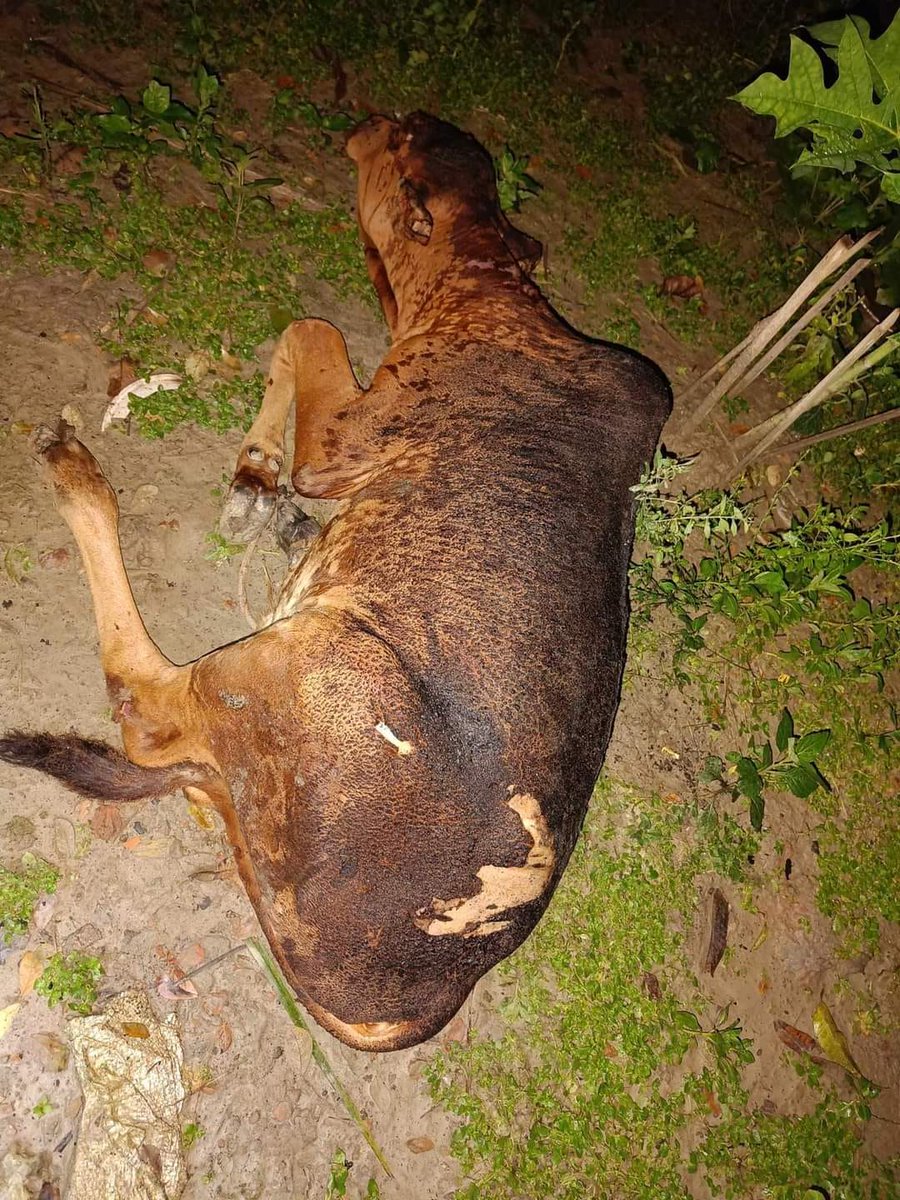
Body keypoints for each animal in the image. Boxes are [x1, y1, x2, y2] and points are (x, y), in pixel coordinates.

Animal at [0, 112, 670, 1051]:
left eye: (403, 141)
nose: (373, 119)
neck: (495, 292)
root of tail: (409, 1006)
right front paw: (258, 483)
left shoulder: (348, 439)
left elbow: (307, 328)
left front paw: (254, 471)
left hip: (302, 662)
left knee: (144, 706)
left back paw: (78, 470)